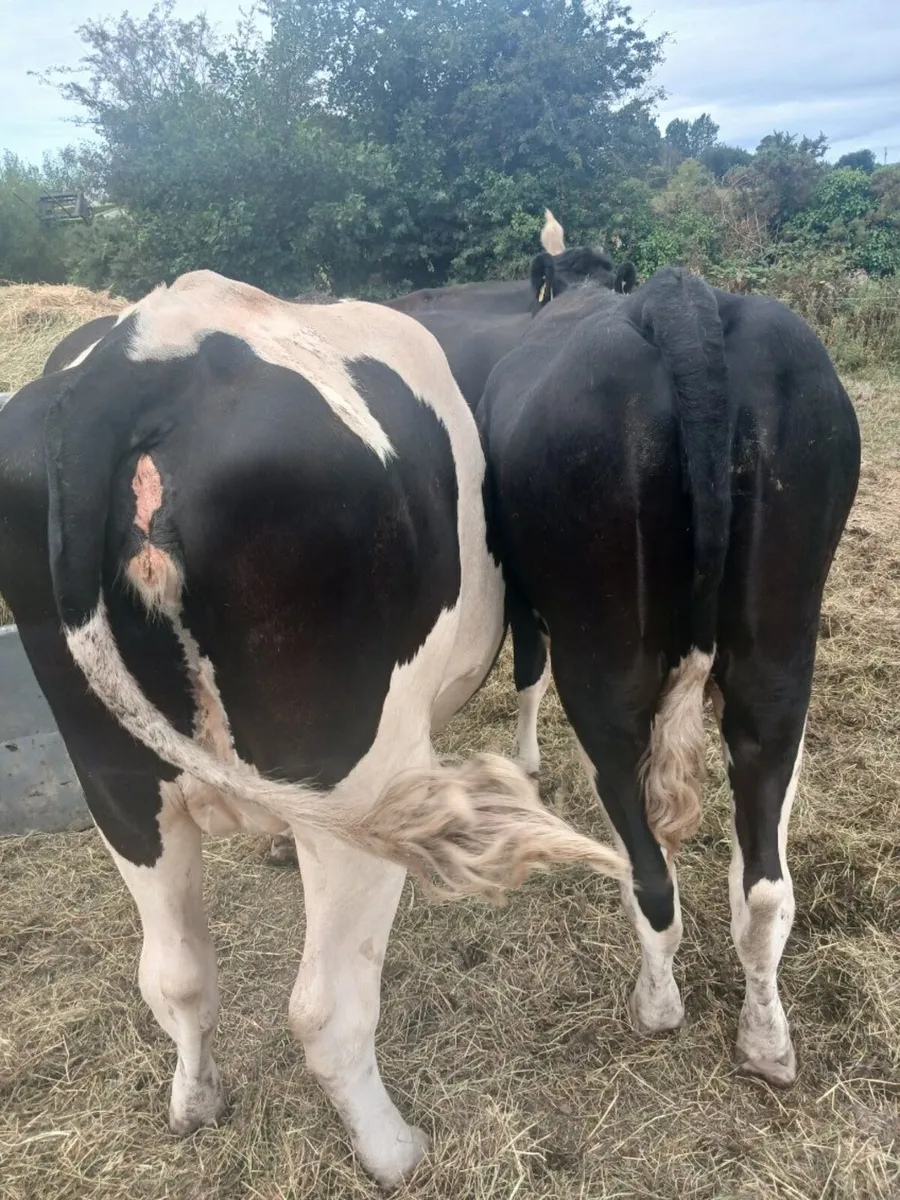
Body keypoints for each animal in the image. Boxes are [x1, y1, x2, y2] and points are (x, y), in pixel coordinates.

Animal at [0, 270, 629, 1188]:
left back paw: (197, 1100)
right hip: (363, 775)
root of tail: (142, 353)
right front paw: (530, 766)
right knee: (327, 1006)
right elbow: (531, 677)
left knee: (176, 974)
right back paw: (394, 1150)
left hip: (115, 780)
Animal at [476, 266, 861, 1086]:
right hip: (781, 661)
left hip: (603, 667)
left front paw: (525, 766)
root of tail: (682, 303)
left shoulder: (522, 596)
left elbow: (526, 673)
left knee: (647, 868)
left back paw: (655, 1007)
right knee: (764, 885)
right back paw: (766, 1041)